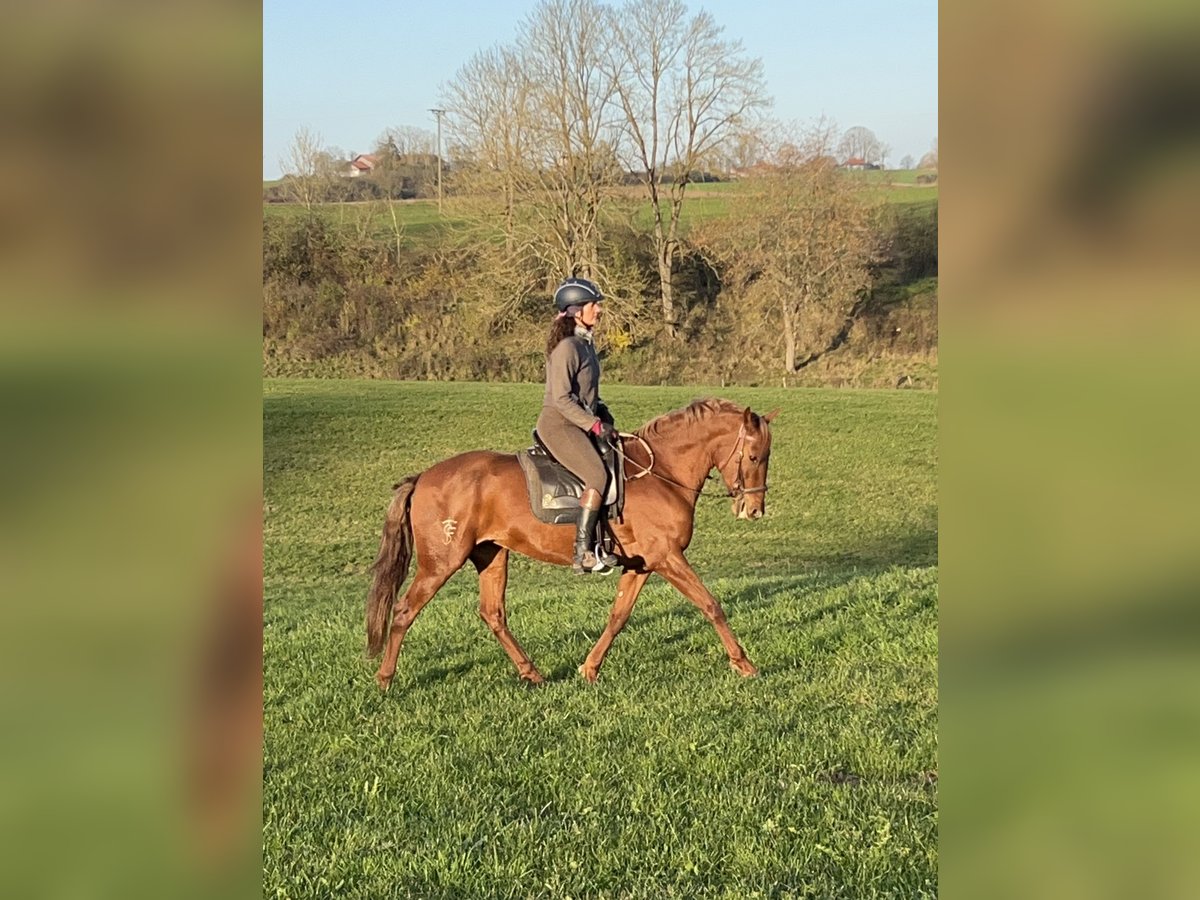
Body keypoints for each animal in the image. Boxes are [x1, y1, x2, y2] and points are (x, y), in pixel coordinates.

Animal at [364, 398, 777, 686]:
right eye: (755, 456)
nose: (754, 509)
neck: (660, 474)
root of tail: (423, 477)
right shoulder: (667, 557)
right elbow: (711, 605)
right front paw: (744, 663)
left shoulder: (642, 564)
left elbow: (618, 616)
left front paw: (590, 668)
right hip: (442, 561)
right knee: (405, 611)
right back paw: (385, 680)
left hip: (491, 555)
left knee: (493, 614)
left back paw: (532, 673)